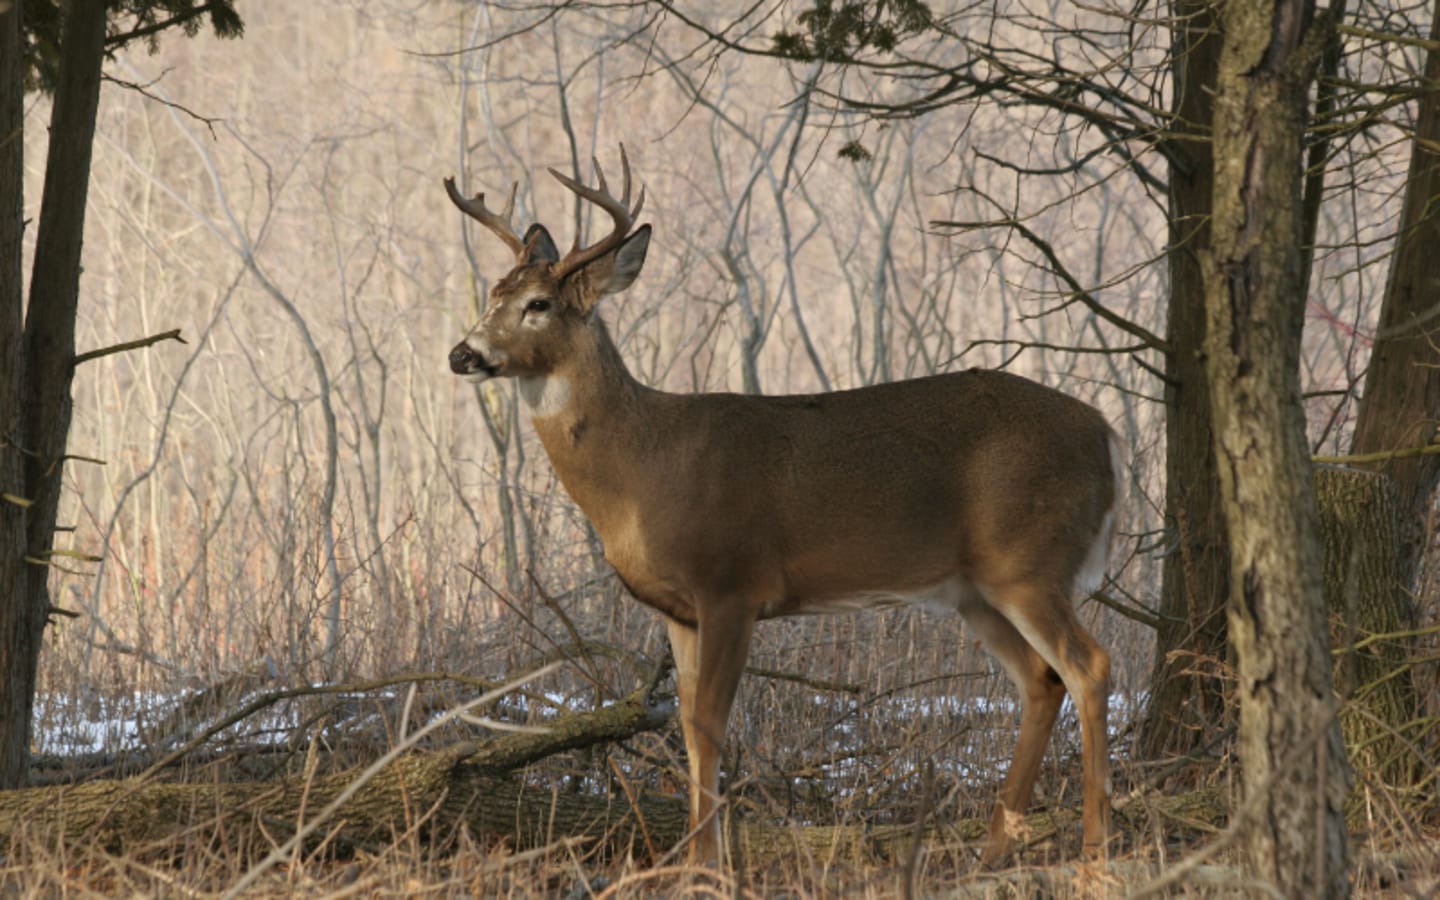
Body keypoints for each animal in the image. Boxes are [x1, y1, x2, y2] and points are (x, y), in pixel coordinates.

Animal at [444, 147, 1121, 867]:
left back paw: (1095, 853)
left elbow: (710, 723)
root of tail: (1109, 436)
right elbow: (688, 727)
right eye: (493, 293)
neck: (644, 469)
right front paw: (696, 861)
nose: (462, 353)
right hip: (976, 589)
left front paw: (707, 868)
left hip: (1031, 561)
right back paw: (992, 851)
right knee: (1041, 681)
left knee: (1089, 667)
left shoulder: (732, 582)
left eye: (539, 303)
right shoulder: (678, 609)